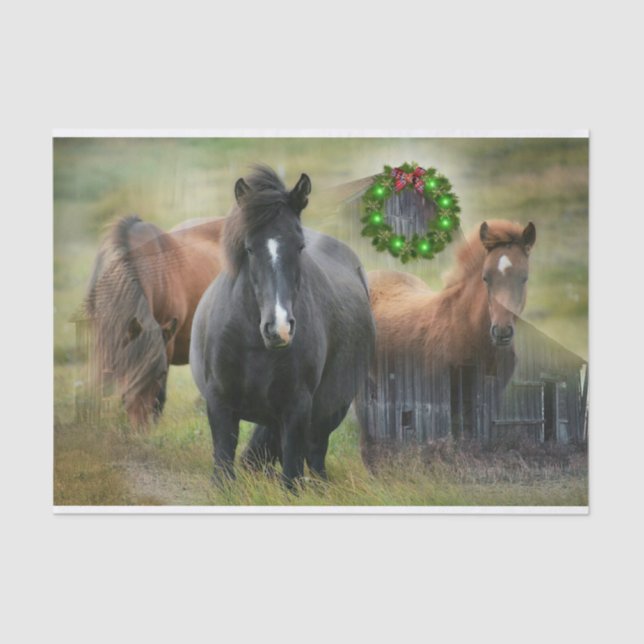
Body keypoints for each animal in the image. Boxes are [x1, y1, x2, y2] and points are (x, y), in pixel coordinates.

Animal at [190, 166, 375, 488]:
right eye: (249, 248)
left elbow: (291, 476)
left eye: (299, 246)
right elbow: (224, 468)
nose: (279, 329)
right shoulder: (219, 403)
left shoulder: (297, 409)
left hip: (329, 411)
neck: (254, 345)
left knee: (316, 456)